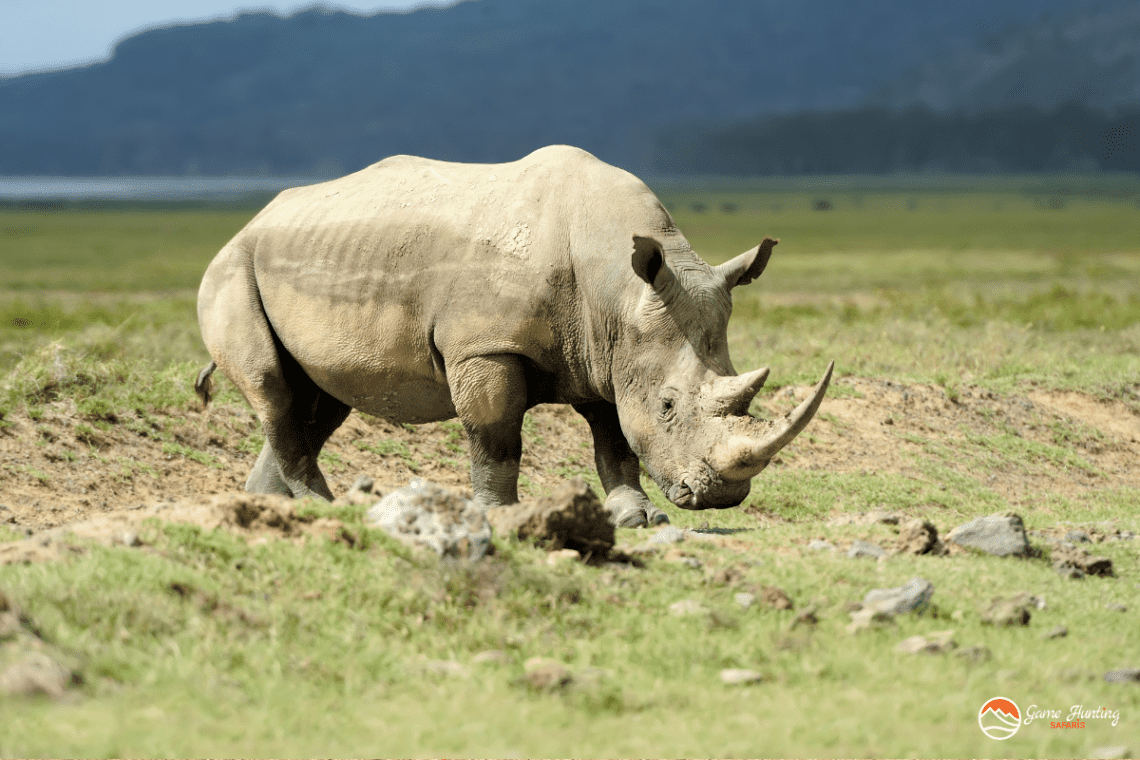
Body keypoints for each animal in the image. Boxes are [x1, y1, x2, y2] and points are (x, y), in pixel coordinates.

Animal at [194, 145, 832, 528]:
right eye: (669, 406)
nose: (722, 496)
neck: (617, 289)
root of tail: (251, 220)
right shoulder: (486, 346)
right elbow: (497, 434)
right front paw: (501, 516)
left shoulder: (605, 351)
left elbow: (613, 438)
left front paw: (637, 517)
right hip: (231, 267)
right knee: (274, 388)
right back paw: (325, 508)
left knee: (319, 401)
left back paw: (275, 506)